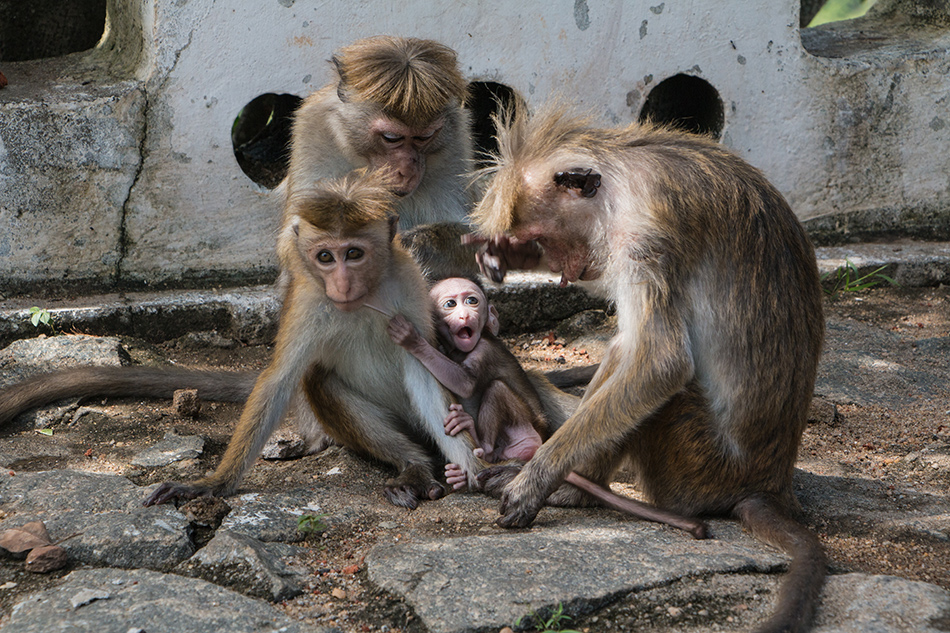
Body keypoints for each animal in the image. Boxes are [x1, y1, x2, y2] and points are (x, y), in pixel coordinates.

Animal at [384, 276, 708, 540]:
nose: (466, 314)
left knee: (496, 390)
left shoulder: (483, 350)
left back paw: (484, 448)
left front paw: (412, 341)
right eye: (450, 304)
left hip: (526, 430)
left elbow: (464, 383)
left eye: (472, 300)